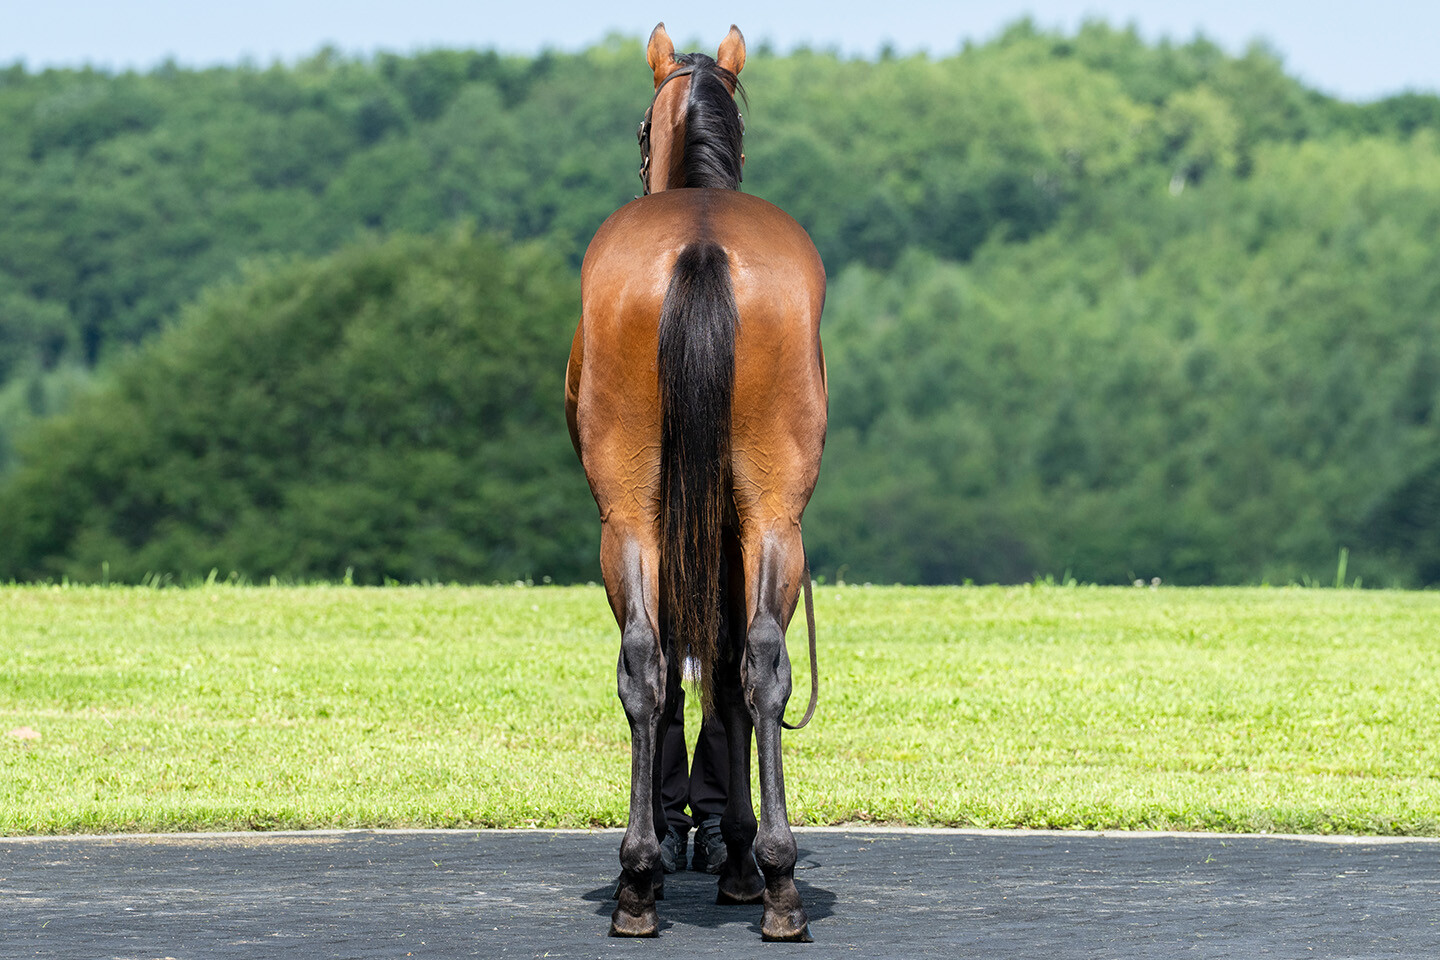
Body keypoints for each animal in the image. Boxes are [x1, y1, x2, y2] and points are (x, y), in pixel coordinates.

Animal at [565, 22, 827, 942]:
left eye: (642, 130)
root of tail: (702, 241)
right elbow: (720, 668)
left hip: (636, 520)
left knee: (662, 663)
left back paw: (666, 873)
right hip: (763, 516)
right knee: (747, 662)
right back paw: (759, 878)